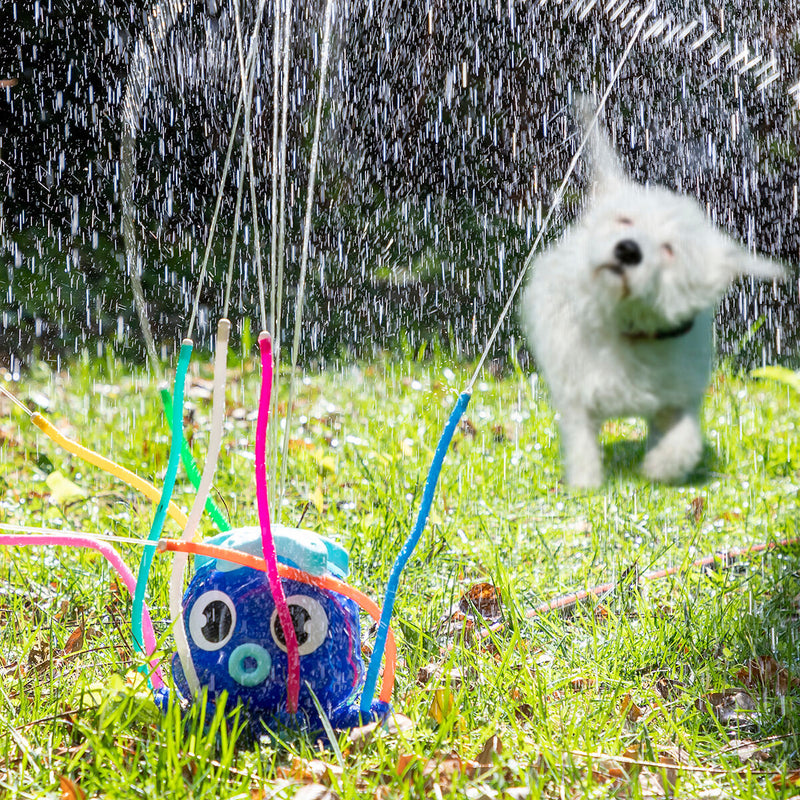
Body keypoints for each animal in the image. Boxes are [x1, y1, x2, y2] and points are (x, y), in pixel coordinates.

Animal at [520, 102, 780, 484]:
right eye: (625, 221)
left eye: (670, 249)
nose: (628, 250)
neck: (630, 328)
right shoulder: (578, 391)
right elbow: (581, 440)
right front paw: (586, 486)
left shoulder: (678, 393)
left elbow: (684, 435)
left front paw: (662, 466)